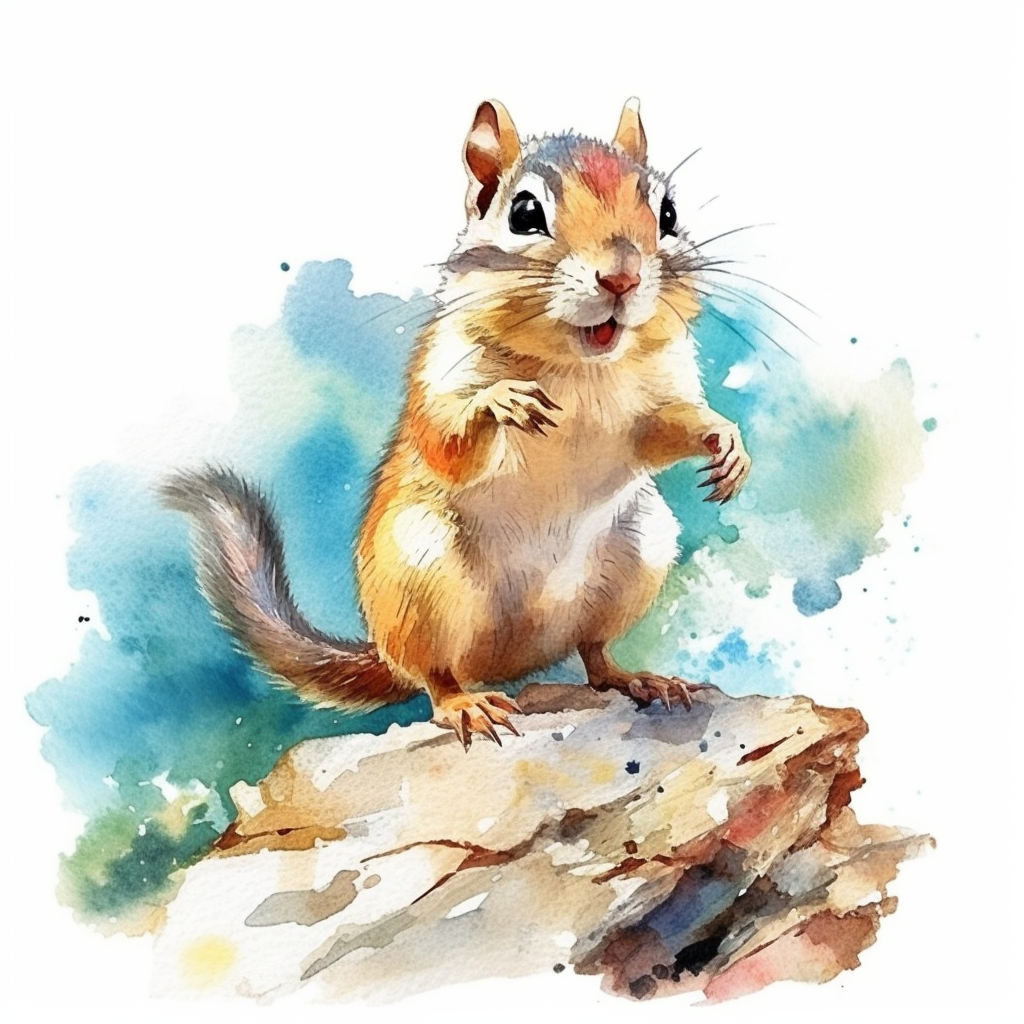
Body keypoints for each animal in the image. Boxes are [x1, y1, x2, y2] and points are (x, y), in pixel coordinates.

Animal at [162, 98, 751, 748]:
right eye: (525, 213)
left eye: (668, 213)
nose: (621, 278)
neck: (578, 365)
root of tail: (514, 658)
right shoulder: (440, 375)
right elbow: (445, 443)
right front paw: (502, 402)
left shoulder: (659, 391)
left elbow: (663, 431)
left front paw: (727, 443)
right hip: (421, 573)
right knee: (436, 674)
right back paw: (465, 705)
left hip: (641, 549)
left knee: (594, 654)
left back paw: (639, 679)